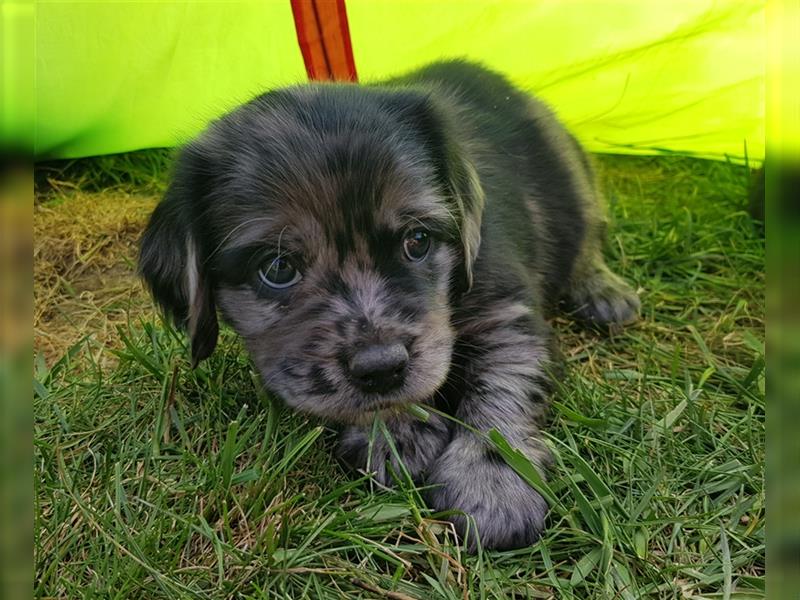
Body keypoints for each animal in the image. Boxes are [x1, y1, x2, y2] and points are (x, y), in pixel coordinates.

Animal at [138, 59, 636, 548]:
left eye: (417, 240)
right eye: (277, 267)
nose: (381, 366)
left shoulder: (508, 313)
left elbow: (504, 388)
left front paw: (493, 483)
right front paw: (395, 431)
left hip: (571, 171)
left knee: (588, 236)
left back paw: (603, 291)